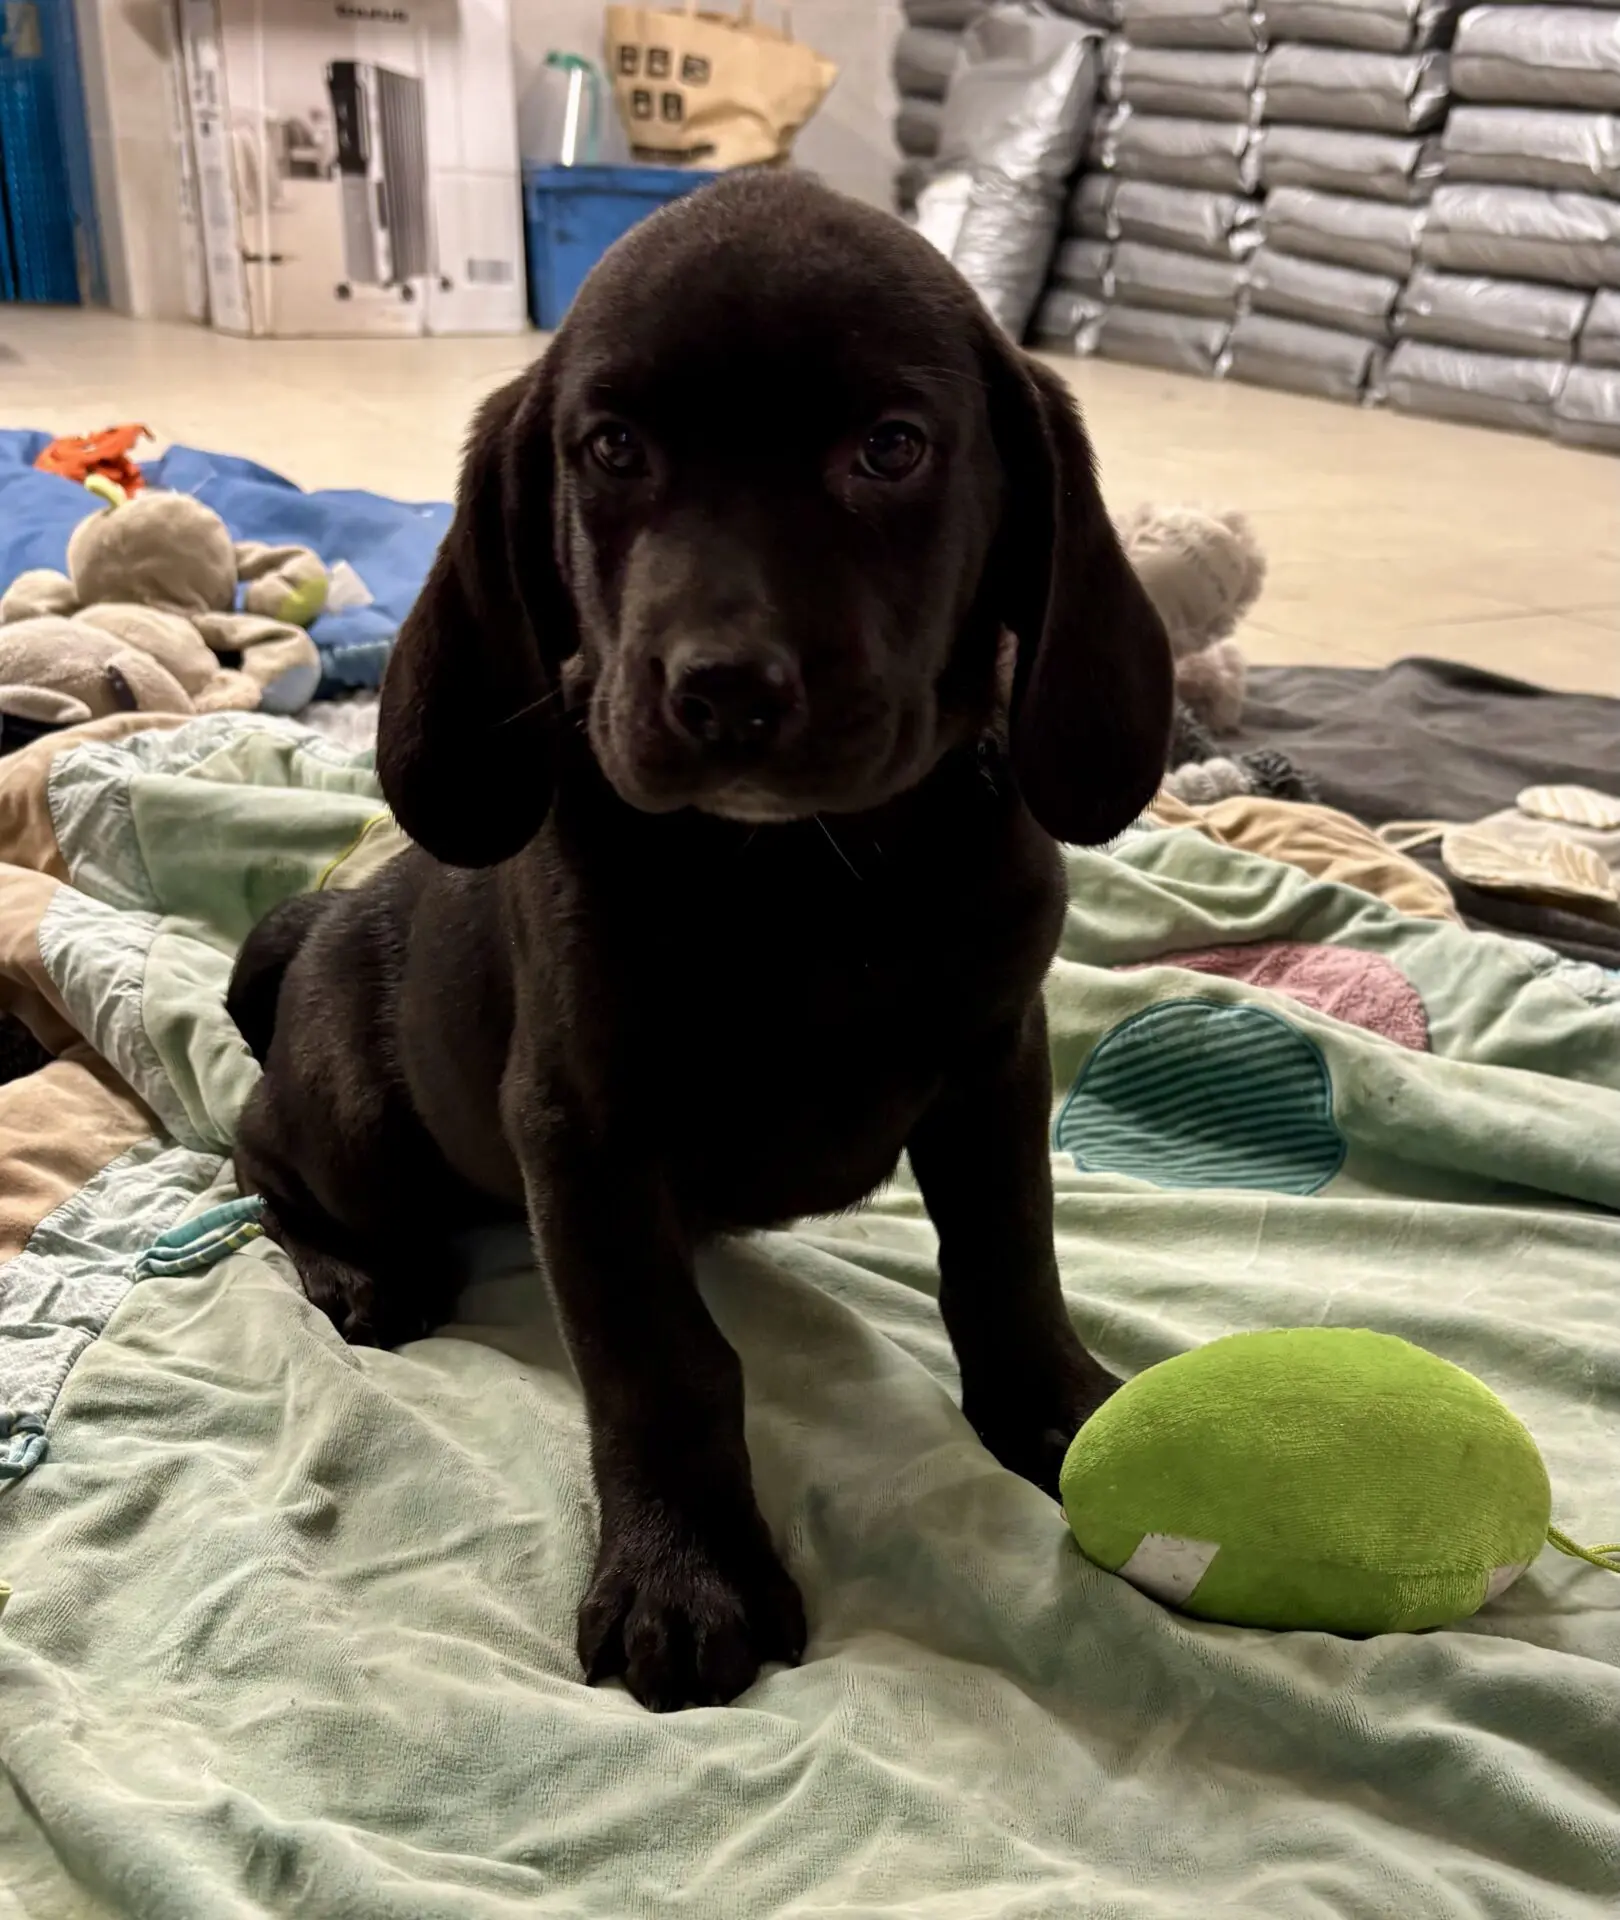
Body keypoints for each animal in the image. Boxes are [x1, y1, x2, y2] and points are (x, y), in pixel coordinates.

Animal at [228, 171, 1173, 1712]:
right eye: (611, 449)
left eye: (891, 448)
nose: (724, 690)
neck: (803, 877)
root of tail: (321, 918)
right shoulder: (583, 1130)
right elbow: (660, 1361)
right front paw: (685, 1574)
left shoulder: (995, 1067)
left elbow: (1009, 1257)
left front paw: (1061, 1416)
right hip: (361, 1128)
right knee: (256, 1149)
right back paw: (355, 1270)